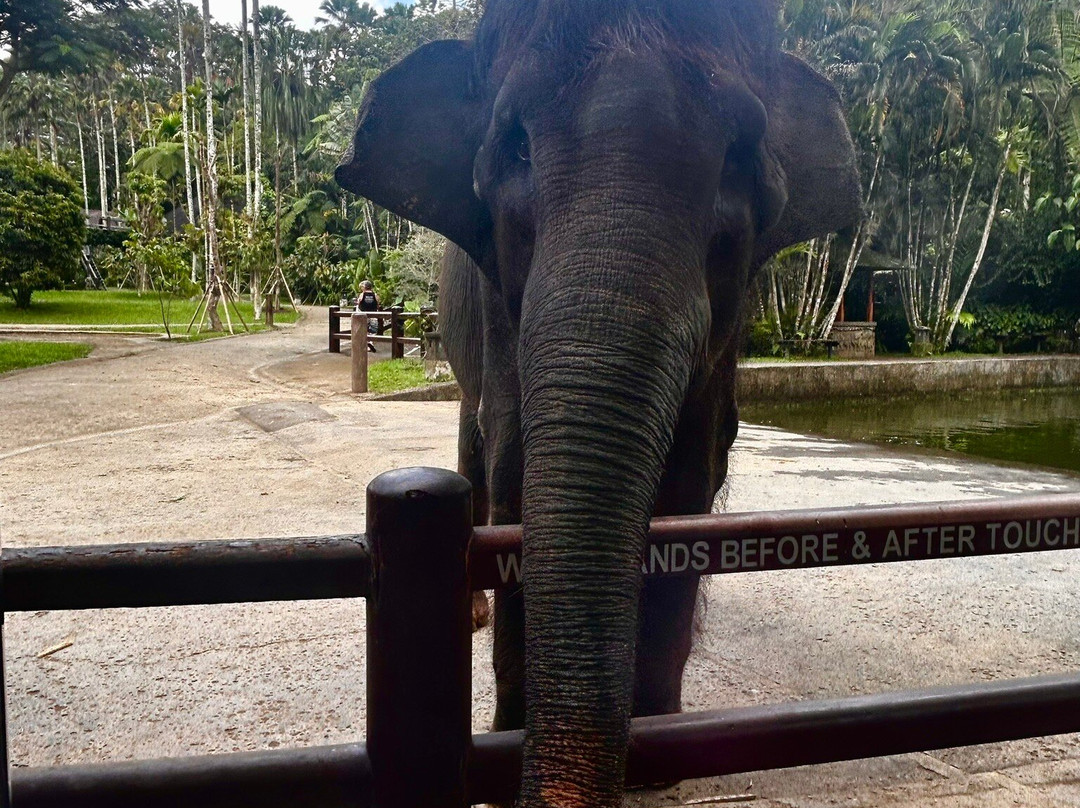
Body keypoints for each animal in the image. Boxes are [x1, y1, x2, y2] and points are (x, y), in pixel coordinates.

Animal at [335, 1, 861, 806]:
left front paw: (660, 750)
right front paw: (509, 741)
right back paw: (474, 612)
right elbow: (517, 469)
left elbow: (692, 480)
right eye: (515, 145)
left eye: (740, 156)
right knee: (472, 442)